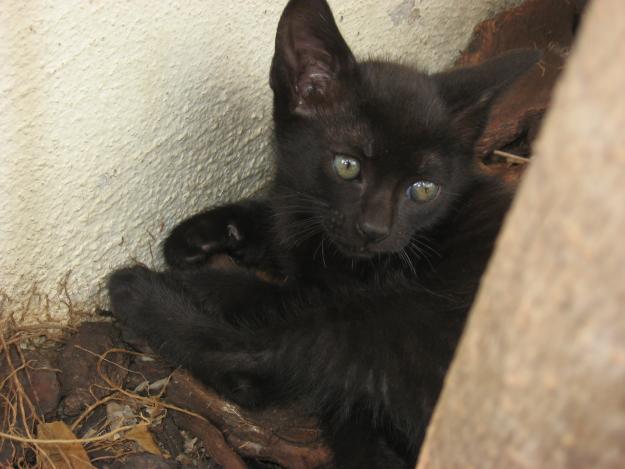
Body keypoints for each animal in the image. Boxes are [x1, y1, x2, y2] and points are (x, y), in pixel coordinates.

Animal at [107, 1, 536, 466]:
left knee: (251, 365)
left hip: (395, 316)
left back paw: (139, 292)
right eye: (347, 166)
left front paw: (200, 276)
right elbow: (278, 221)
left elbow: (262, 291)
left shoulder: (328, 289)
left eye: (423, 190)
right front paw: (195, 236)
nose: (374, 229)